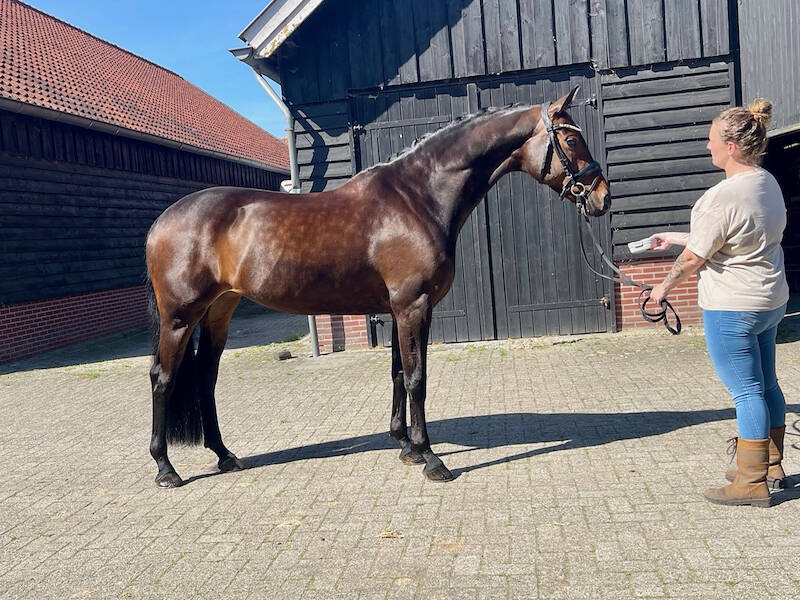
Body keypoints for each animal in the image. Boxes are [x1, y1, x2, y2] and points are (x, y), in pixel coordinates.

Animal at [145, 86, 611, 487]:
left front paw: (406, 447)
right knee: (163, 378)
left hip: (219, 311)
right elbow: (417, 377)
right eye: (571, 140)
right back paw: (166, 468)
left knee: (206, 377)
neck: (416, 197)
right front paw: (431, 458)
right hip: (180, 317)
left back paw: (225, 455)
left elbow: (398, 373)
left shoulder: (401, 308)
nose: (602, 197)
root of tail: (161, 221)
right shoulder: (412, 305)